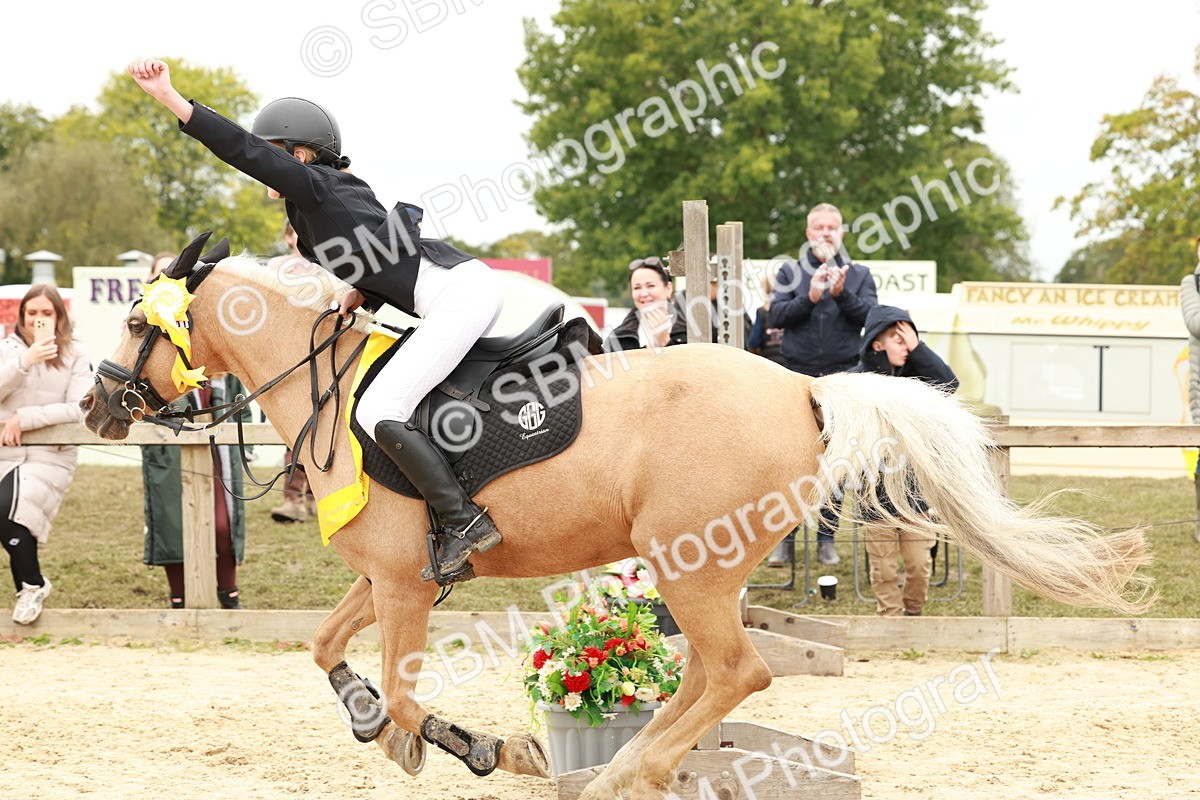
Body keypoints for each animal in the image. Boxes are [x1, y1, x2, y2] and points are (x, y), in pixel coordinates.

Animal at [81, 248, 1153, 800]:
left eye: (136, 321)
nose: (95, 407)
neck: (328, 384)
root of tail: (806, 391)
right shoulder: (390, 575)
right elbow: (322, 649)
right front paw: (374, 722)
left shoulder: (407, 585)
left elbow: (409, 694)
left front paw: (486, 750)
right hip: (691, 569)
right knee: (706, 675)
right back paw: (635, 764)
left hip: (691, 563)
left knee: (738, 671)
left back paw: (629, 771)